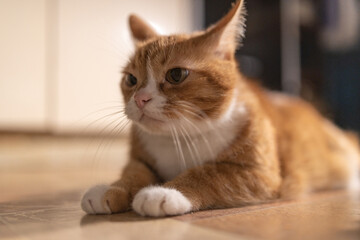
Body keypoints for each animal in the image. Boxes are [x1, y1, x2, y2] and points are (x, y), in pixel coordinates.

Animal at [81, 0, 360, 217]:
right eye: (131, 79)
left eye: (176, 75)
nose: (140, 99)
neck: (179, 139)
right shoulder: (139, 159)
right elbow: (133, 173)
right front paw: (109, 189)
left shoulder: (258, 174)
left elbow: (208, 174)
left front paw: (165, 191)